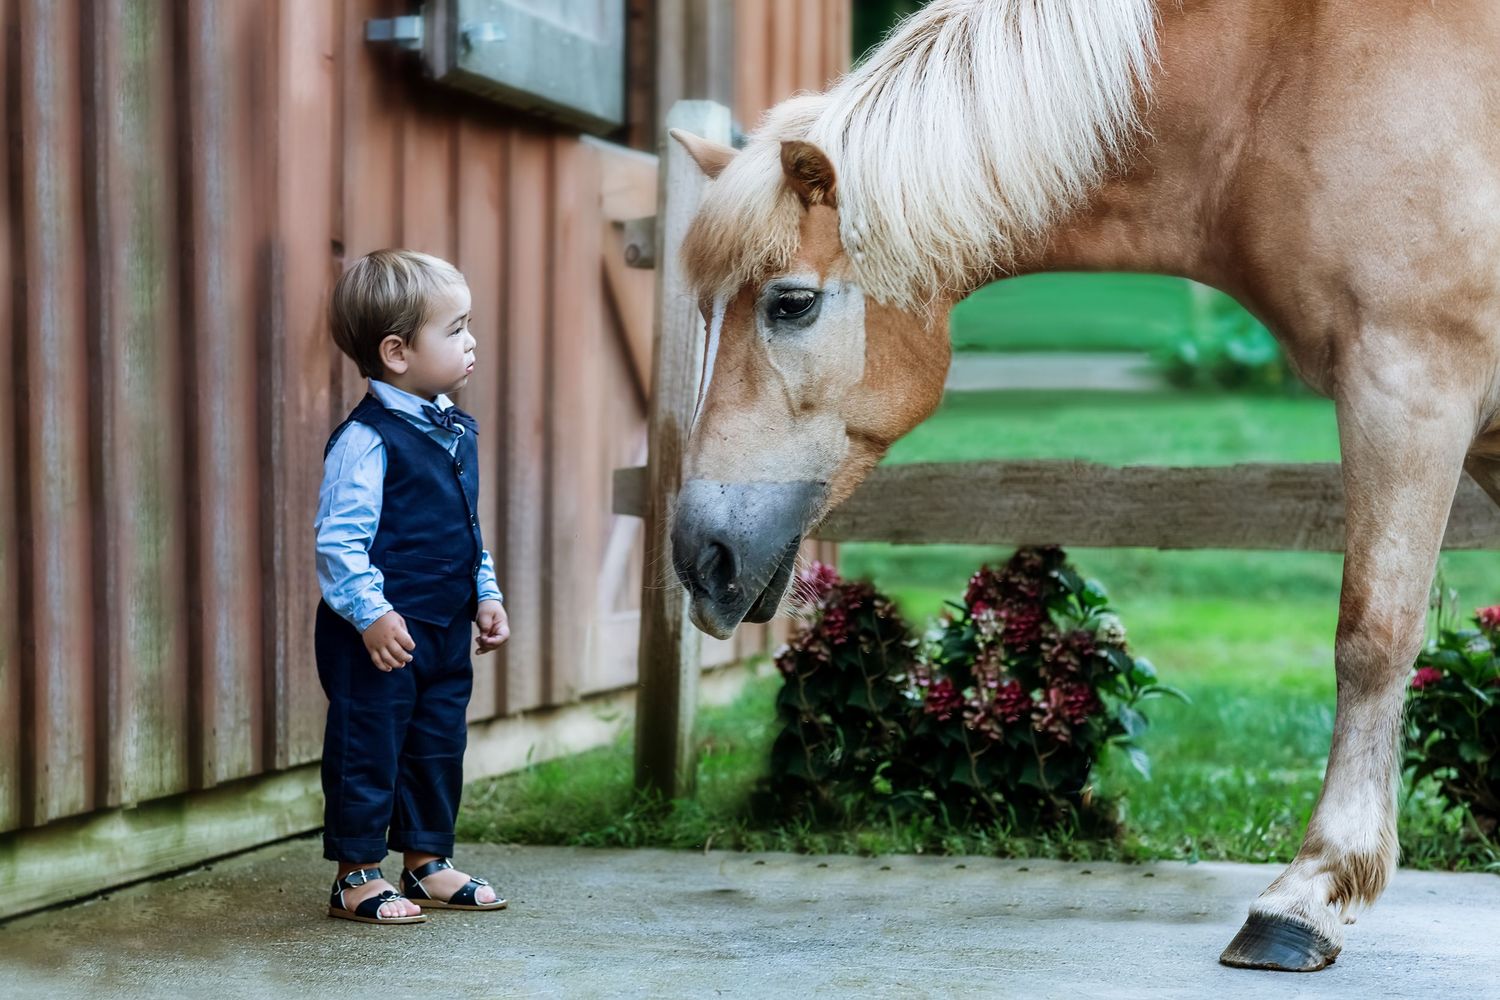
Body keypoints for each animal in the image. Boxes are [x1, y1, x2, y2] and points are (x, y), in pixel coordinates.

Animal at [664, 0, 1500, 973]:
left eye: (790, 303)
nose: (702, 556)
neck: (1284, 76)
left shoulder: (1409, 387)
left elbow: (1372, 635)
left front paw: (1311, 894)